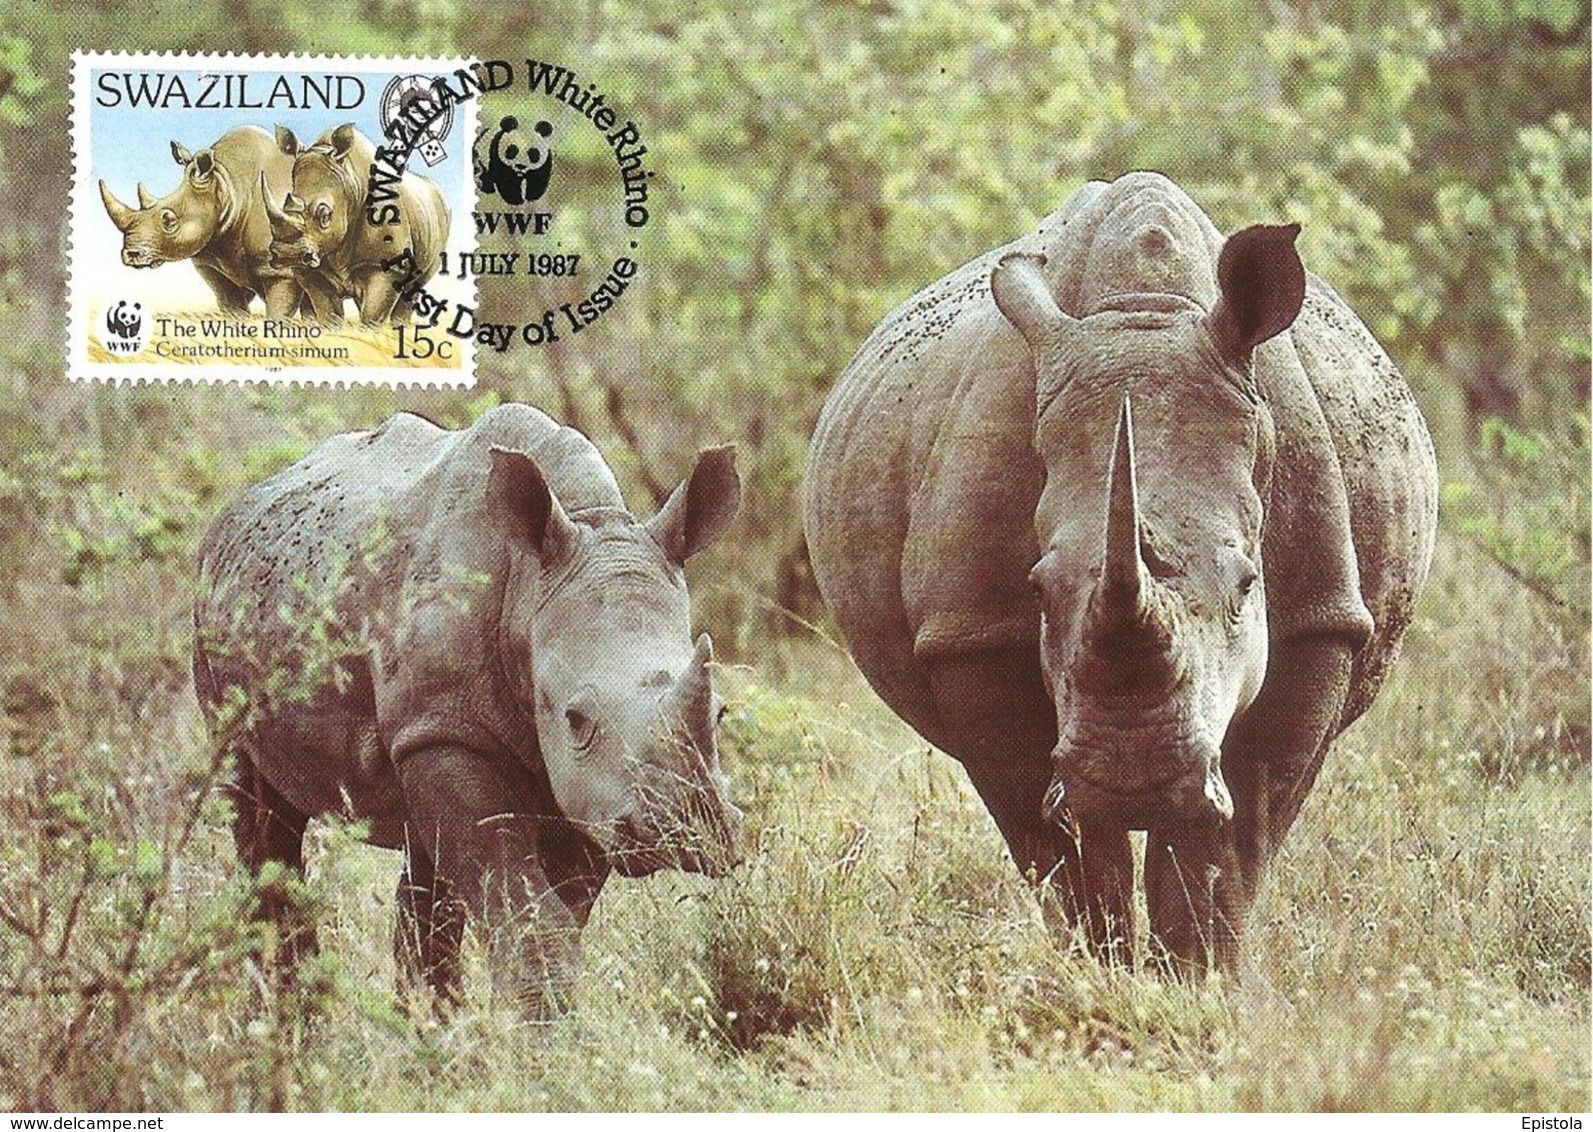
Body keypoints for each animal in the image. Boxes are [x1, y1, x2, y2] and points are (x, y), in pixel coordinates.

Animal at [98, 125, 306, 318]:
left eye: (169, 221)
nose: (132, 254)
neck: (227, 183)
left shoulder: (281, 270)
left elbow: (278, 312)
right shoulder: (214, 266)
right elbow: (232, 307)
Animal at [192, 403, 744, 1013]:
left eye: (720, 712)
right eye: (575, 720)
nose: (687, 830)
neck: (530, 587)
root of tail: (238, 507)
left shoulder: (591, 794)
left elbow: (550, 913)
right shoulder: (448, 730)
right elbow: (530, 916)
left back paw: (423, 1029)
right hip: (220, 622)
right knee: (261, 812)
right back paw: (290, 1020)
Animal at [264, 123, 449, 325]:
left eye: (325, 216)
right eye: (284, 206)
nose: (288, 254)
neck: (350, 183)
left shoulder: (388, 265)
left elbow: (371, 317)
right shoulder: (312, 270)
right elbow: (328, 315)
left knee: (415, 284)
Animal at [804, 172, 1437, 974]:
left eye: (1247, 587)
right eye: (1037, 589)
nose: (1133, 781)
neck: (1143, 315)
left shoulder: (1320, 620)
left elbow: (1234, 839)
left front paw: (1195, 981)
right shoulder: (972, 634)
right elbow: (1059, 849)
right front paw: (1102, 976)